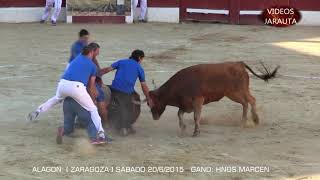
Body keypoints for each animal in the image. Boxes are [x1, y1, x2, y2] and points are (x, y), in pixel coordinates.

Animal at [146, 62, 278, 136]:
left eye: (151, 103)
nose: (154, 117)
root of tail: (239, 63)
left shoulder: (198, 100)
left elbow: (196, 117)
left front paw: (196, 132)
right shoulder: (186, 104)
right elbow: (179, 114)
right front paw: (183, 128)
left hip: (239, 90)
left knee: (251, 100)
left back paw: (255, 119)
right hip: (232, 93)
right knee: (245, 103)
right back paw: (242, 122)